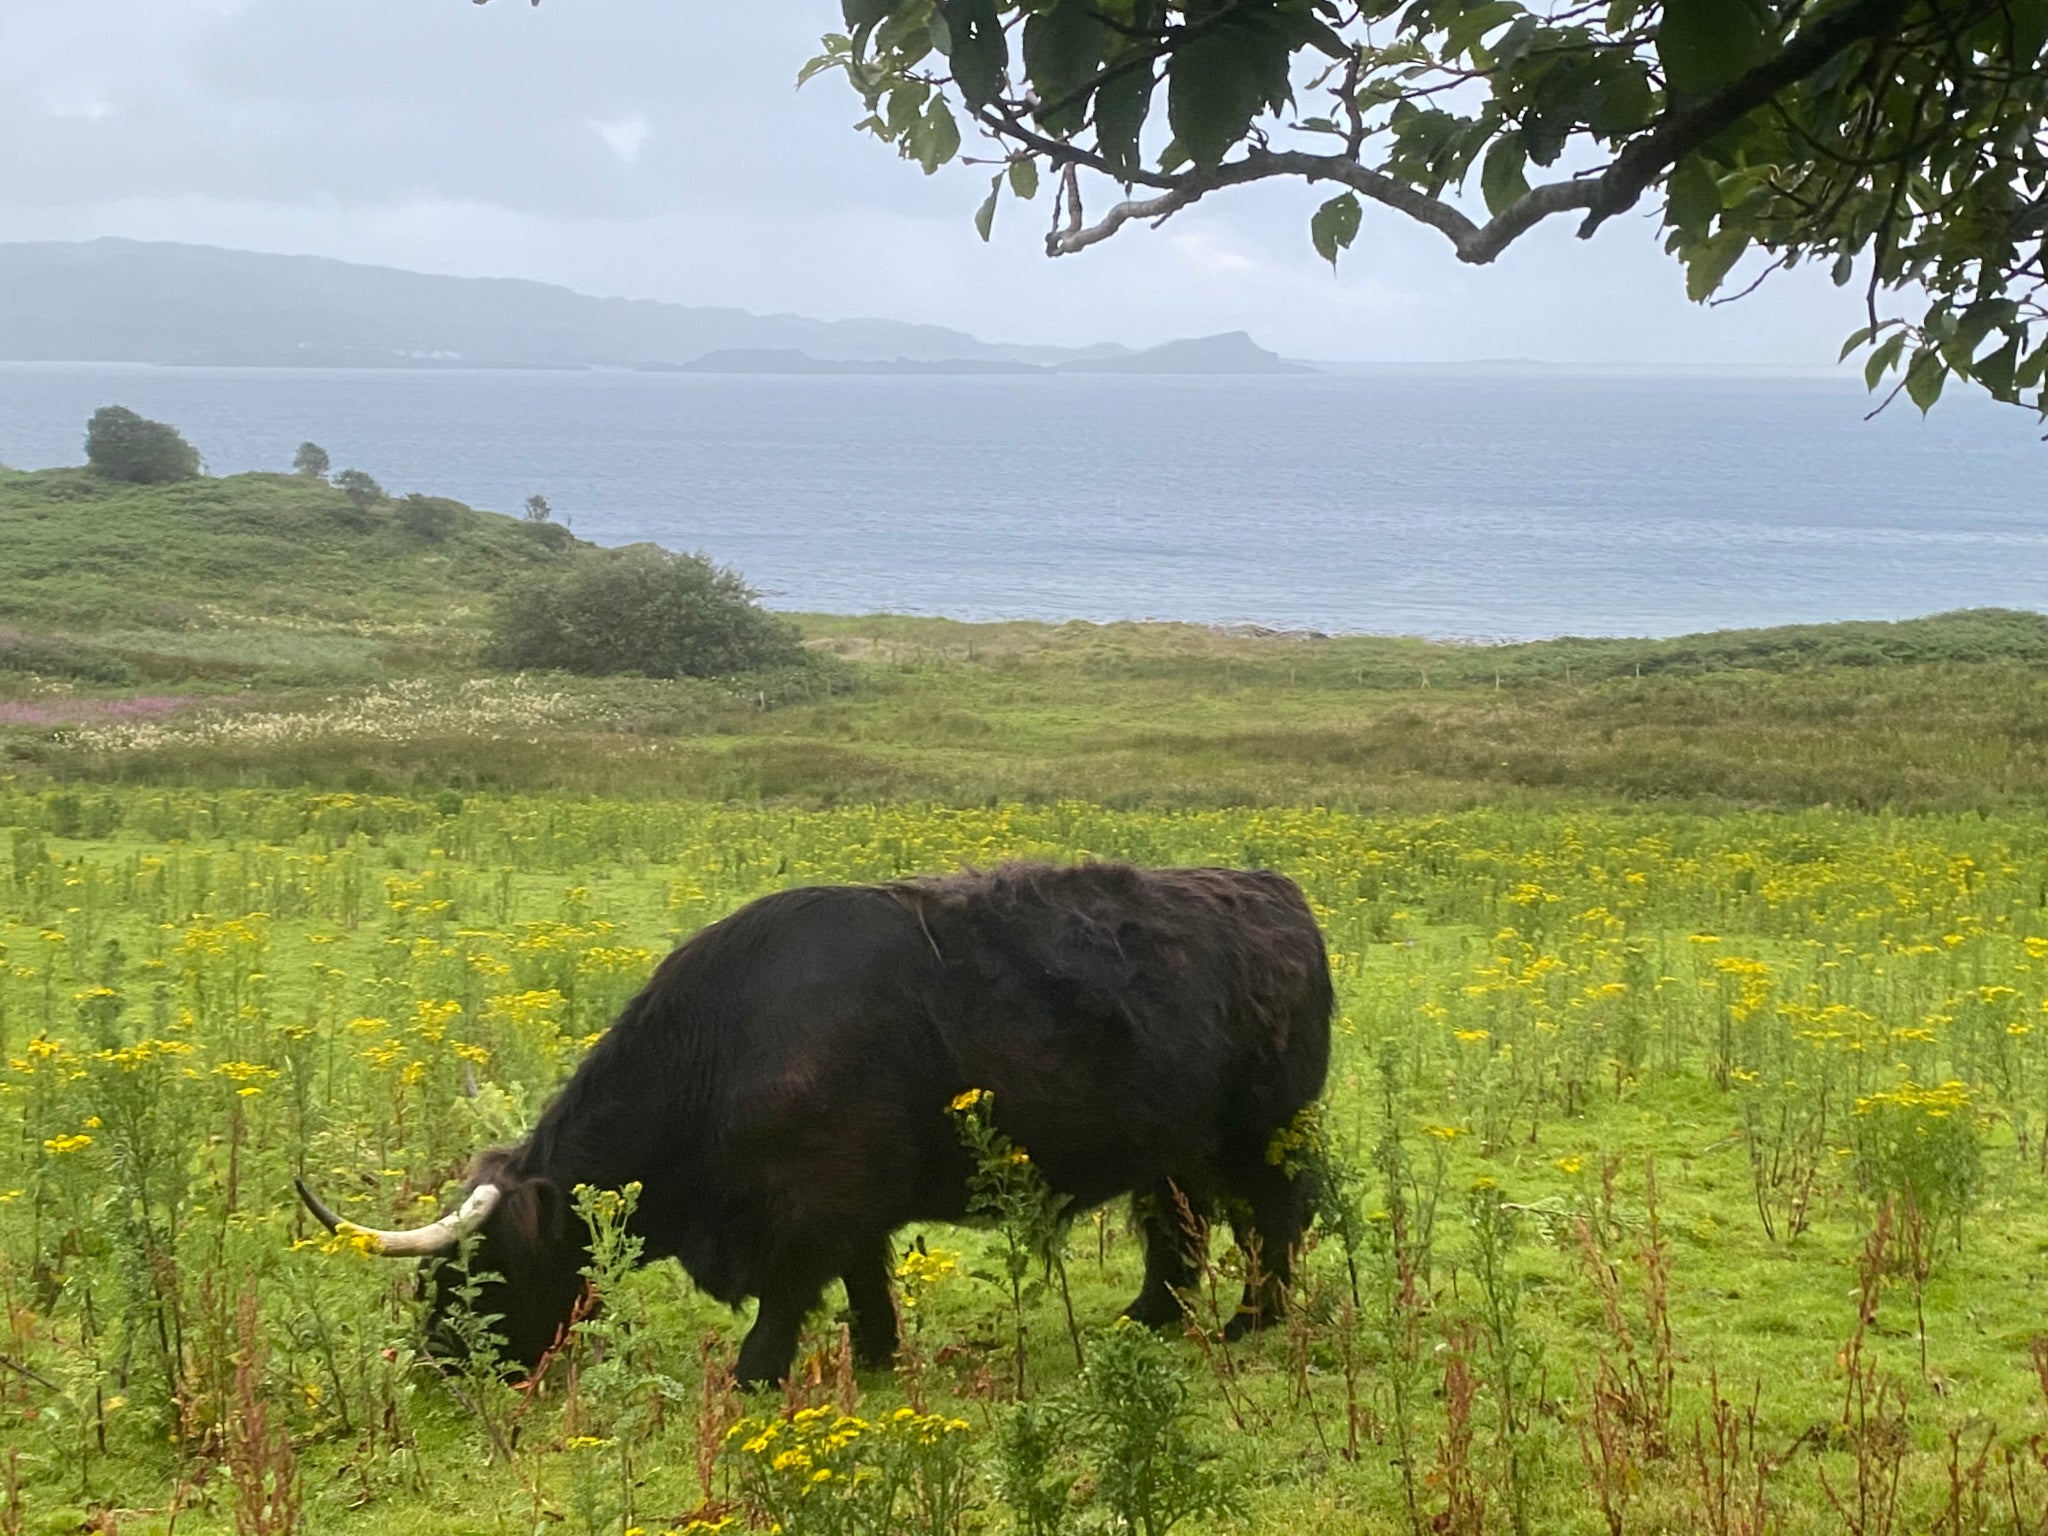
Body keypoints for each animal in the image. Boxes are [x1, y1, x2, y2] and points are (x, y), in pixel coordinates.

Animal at [296, 860, 1335, 1392]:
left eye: (477, 1270)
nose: (441, 1367)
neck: (723, 1049)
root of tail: (1274, 892)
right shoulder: (855, 1206)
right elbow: (866, 1282)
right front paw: (875, 1358)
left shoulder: (808, 1207)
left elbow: (790, 1297)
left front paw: (757, 1376)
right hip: (1174, 1146)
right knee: (1179, 1226)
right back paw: (1150, 1317)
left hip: (1265, 1133)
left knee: (1277, 1218)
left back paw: (1251, 1322)